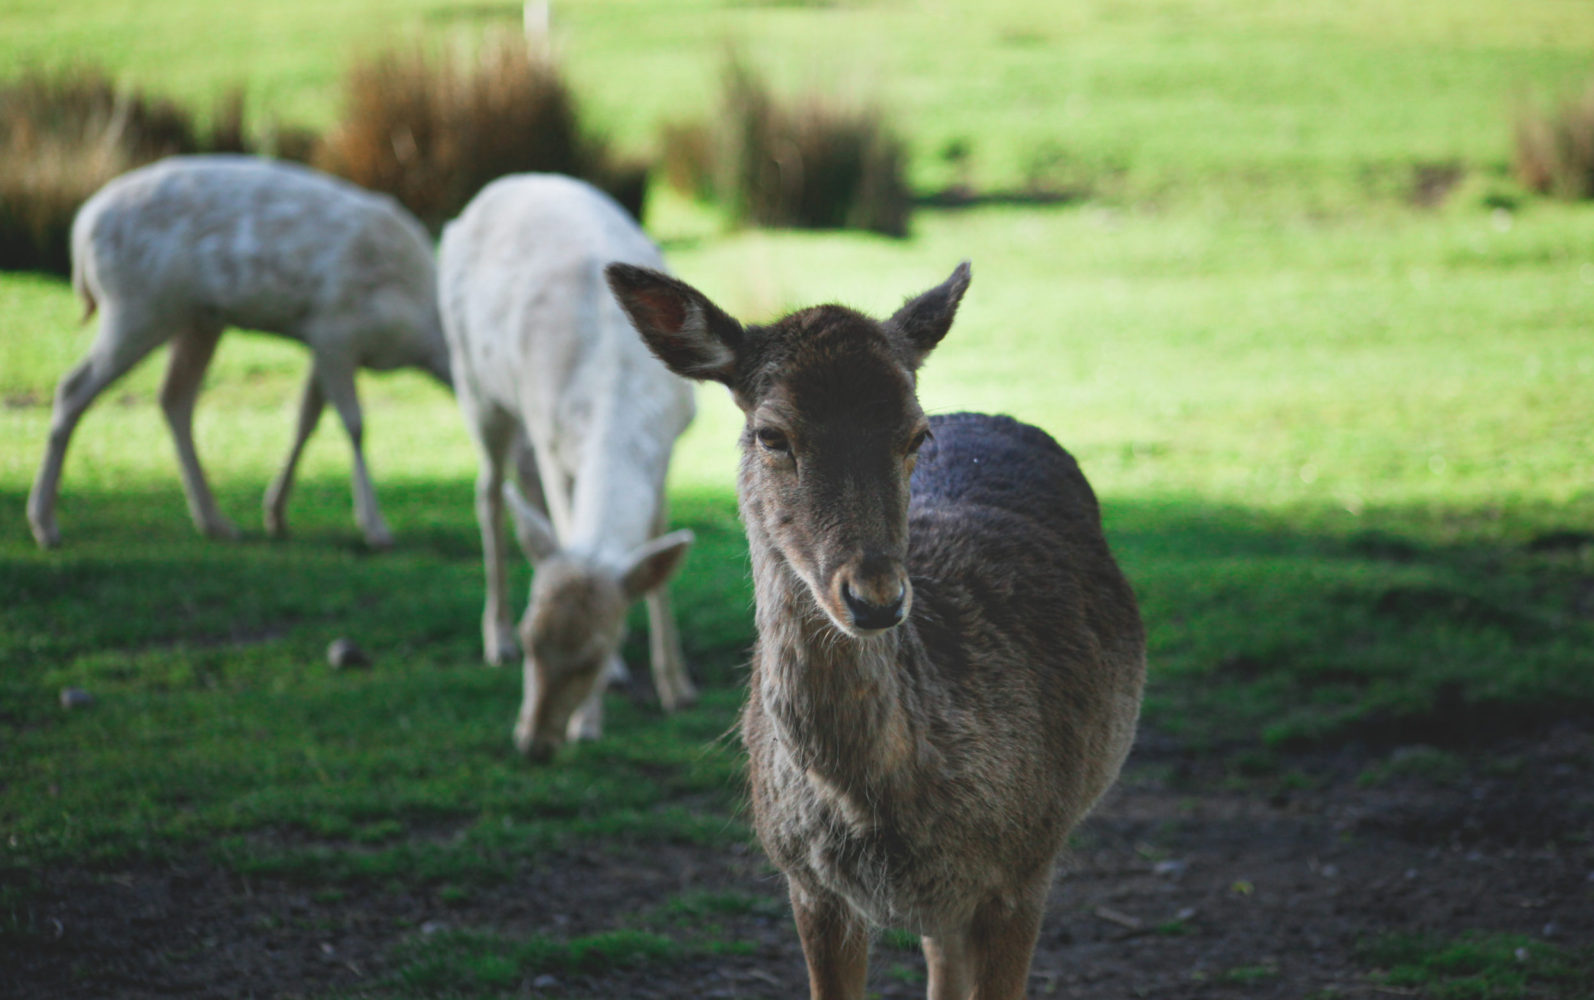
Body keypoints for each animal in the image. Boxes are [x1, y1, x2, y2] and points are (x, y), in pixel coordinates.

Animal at [27, 155, 452, 550]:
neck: (420, 331)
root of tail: (81, 230)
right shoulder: (337, 329)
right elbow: (354, 424)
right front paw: (376, 529)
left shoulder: (321, 339)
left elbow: (305, 422)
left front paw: (276, 516)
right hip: (138, 306)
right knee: (73, 387)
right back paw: (45, 526)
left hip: (196, 319)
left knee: (174, 398)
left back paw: (216, 522)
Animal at [438, 173, 698, 761]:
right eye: (534, 640)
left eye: (593, 654)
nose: (535, 743)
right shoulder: (553, 437)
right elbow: (565, 519)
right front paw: (593, 719)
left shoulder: (669, 447)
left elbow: (656, 550)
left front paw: (676, 688)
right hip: (474, 381)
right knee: (490, 491)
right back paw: (493, 638)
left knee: (522, 488)